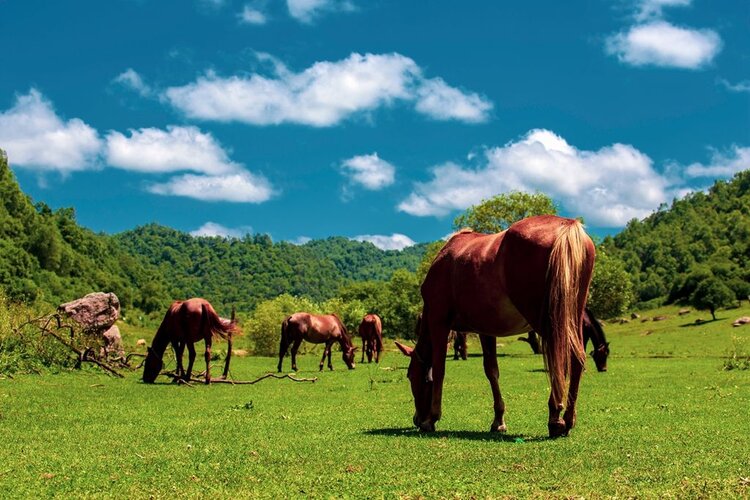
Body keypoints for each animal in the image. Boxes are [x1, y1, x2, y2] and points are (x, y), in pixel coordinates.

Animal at [396, 215, 596, 438]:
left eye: (410, 376)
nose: (416, 419)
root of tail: (566, 224)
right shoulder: (486, 330)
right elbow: (492, 371)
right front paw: (498, 420)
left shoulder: (439, 322)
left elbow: (439, 369)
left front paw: (432, 418)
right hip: (572, 315)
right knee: (577, 358)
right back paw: (568, 419)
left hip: (547, 320)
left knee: (560, 359)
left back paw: (555, 418)